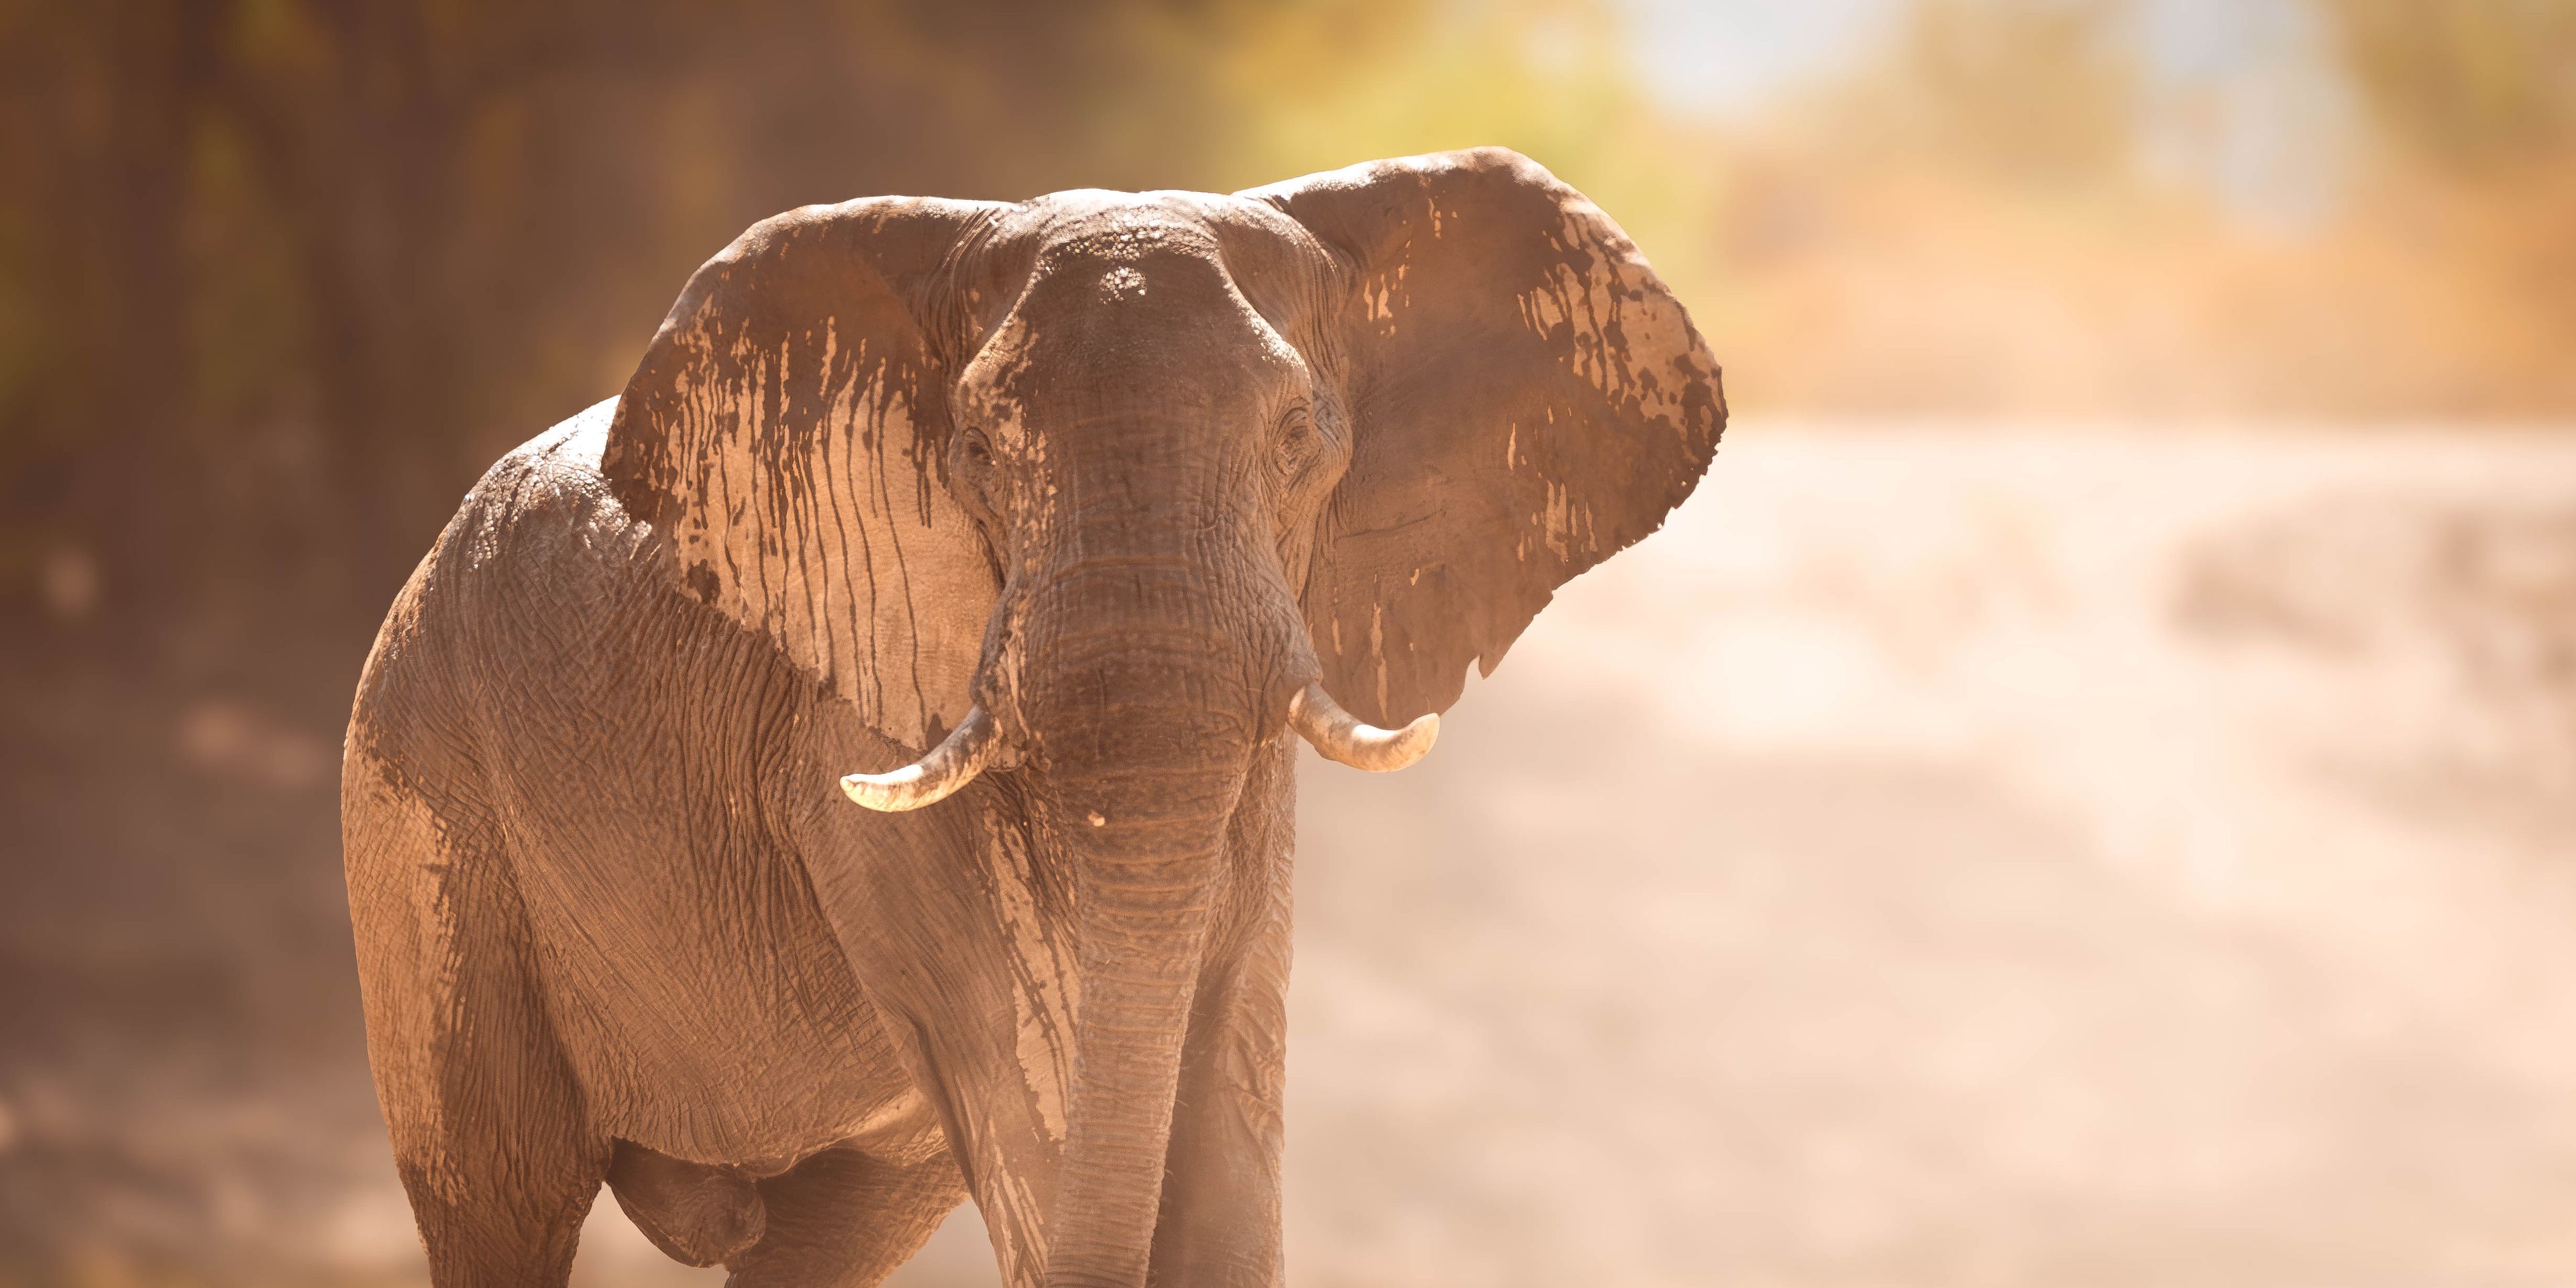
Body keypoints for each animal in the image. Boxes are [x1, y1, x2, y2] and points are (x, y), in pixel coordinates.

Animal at [339, 146, 1723, 1288]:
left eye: (1299, 437)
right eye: (981, 451)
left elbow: (1224, 1087)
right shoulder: (863, 731)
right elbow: (1036, 1080)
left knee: (827, 1244)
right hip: (420, 794)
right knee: (499, 1203)